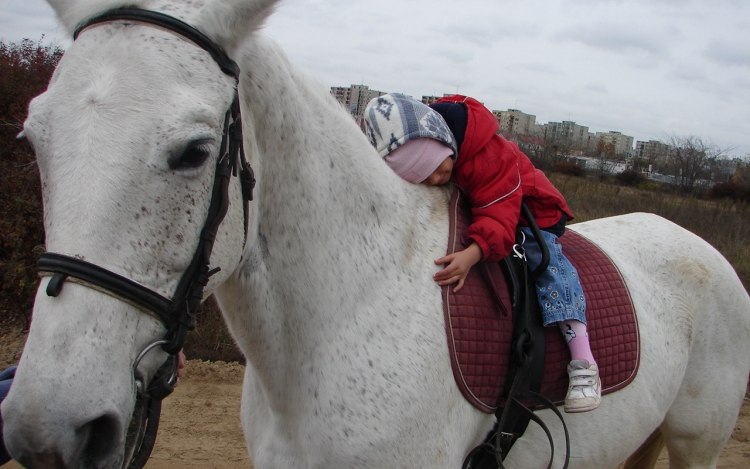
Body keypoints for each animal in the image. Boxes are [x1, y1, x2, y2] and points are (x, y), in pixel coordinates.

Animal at [1, 0, 750, 466]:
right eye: (33, 139)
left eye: (193, 150)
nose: (50, 429)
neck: (349, 310)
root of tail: (705, 251)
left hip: (697, 444)